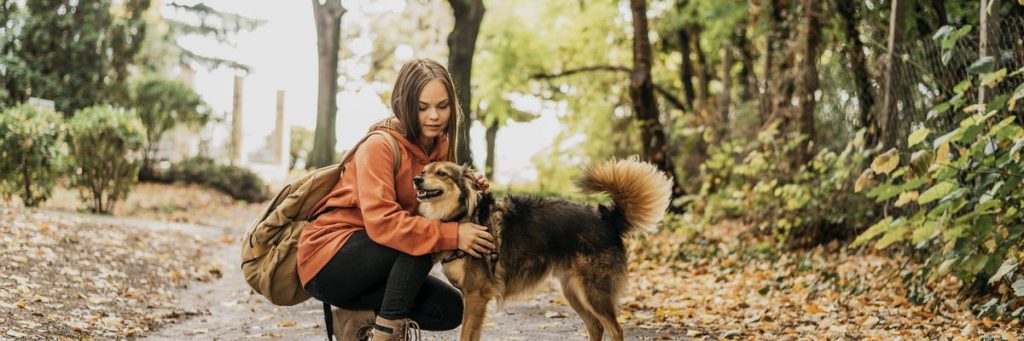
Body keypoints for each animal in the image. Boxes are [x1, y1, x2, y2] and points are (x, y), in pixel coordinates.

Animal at [411, 156, 675, 339]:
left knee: (615, 329)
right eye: (424, 171)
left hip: (593, 292)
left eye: (441, 173)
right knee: (596, 326)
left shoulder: (477, 295)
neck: (461, 217)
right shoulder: (473, 297)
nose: (416, 179)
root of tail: (607, 219)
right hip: (573, 291)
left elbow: (467, 335)